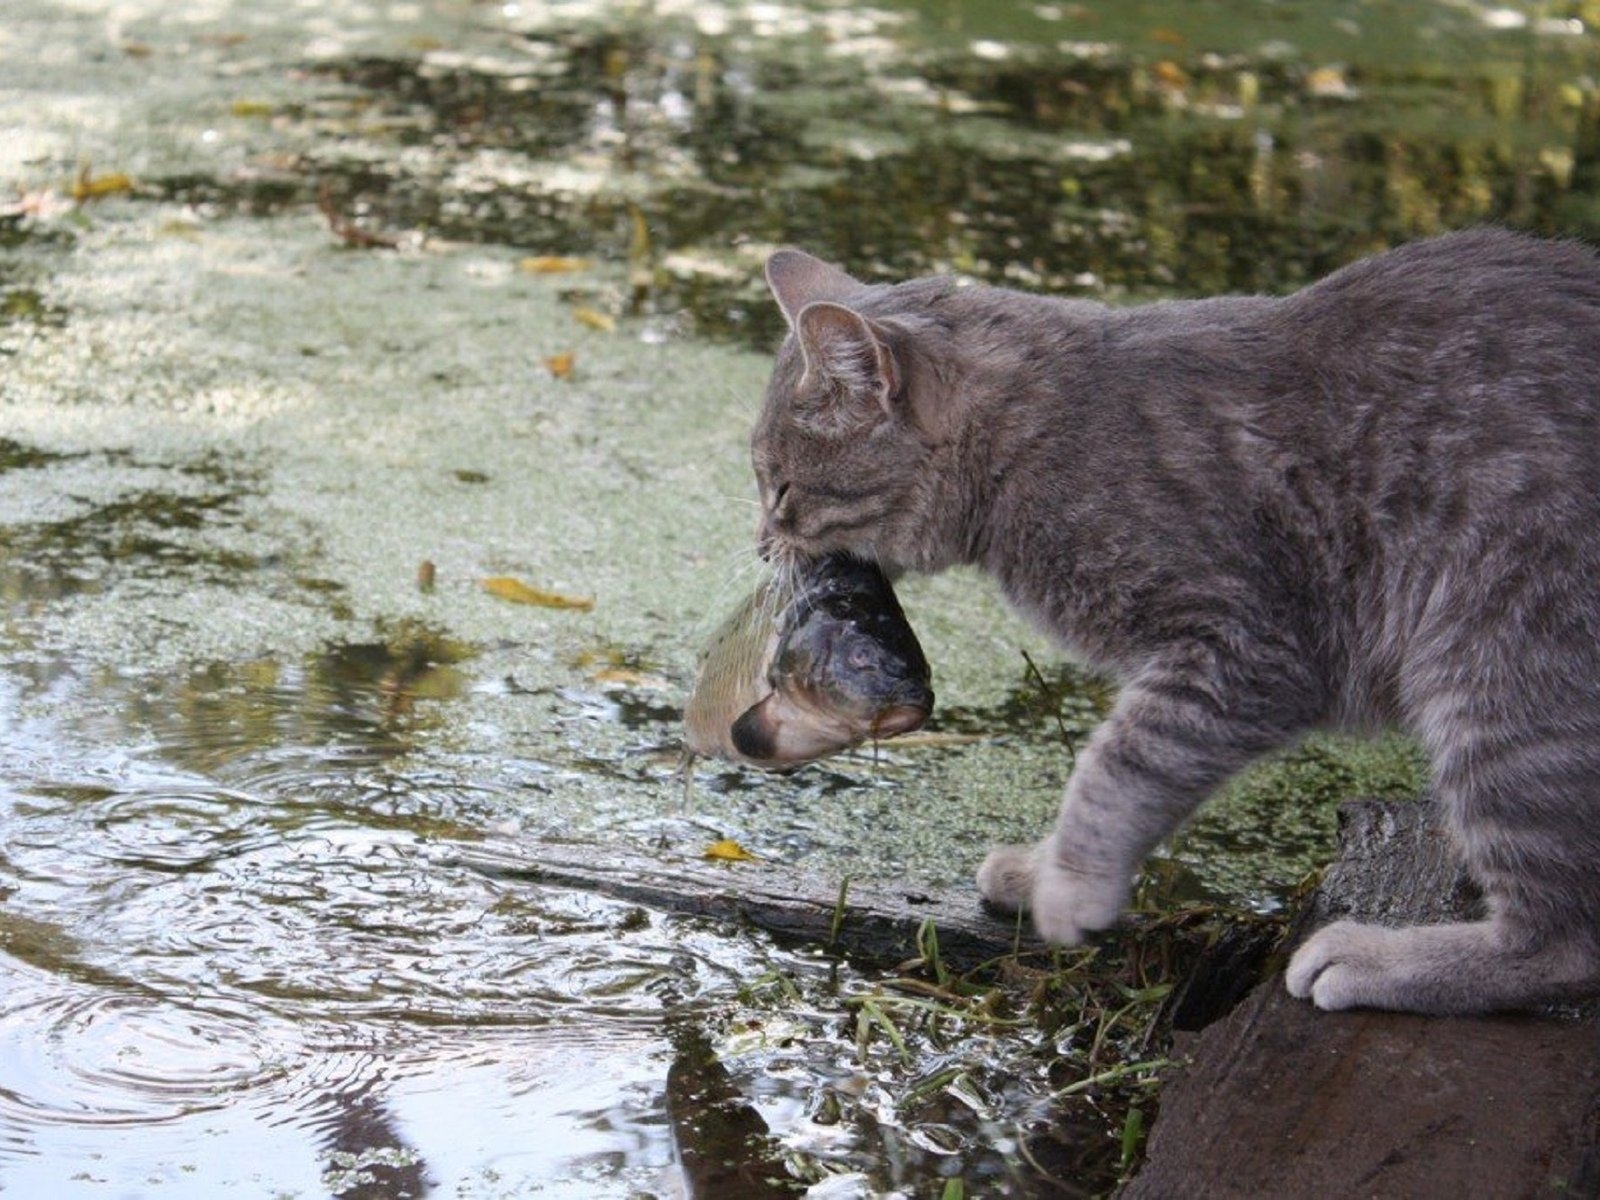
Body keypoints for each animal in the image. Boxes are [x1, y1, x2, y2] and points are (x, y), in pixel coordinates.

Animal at [755, 227, 1600, 1017]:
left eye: (781, 487)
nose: (762, 543)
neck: (1038, 436)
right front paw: (1041, 868)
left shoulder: (1247, 647)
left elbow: (1117, 769)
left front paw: (1069, 884)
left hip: (1499, 673)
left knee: (1564, 944)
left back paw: (1381, 959)